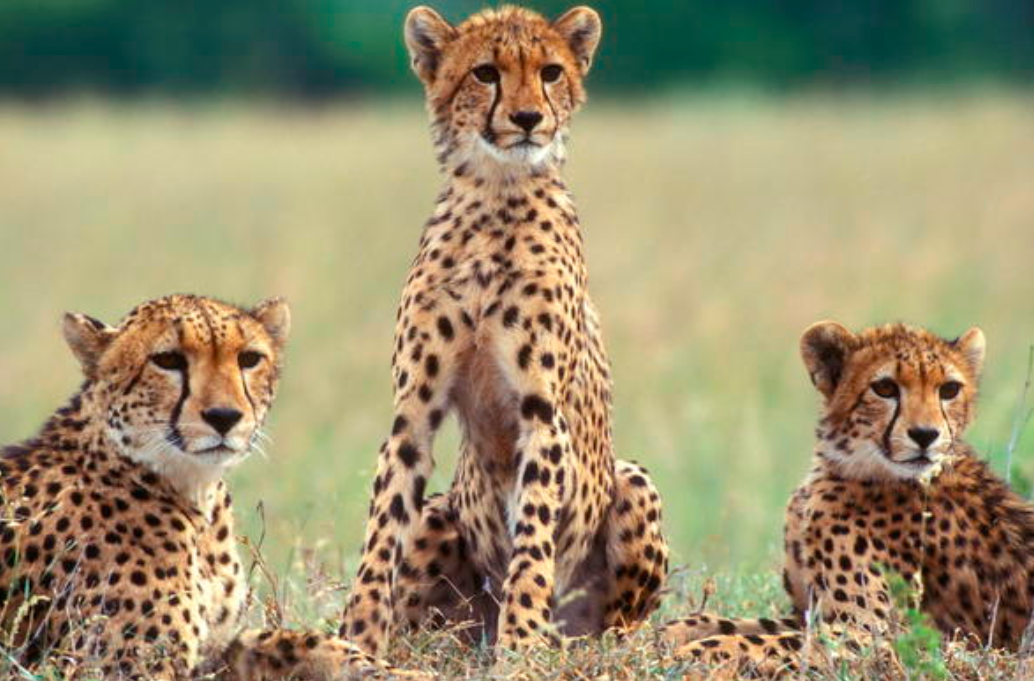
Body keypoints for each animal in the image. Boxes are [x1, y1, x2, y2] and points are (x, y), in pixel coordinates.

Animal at [0, 294, 423, 680]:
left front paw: (399, 671)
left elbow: (296, 640)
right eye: (168, 360)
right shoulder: (121, 666)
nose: (224, 416)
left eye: (249, 359)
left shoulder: (218, 648)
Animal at [340, 4, 668, 657]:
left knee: (616, 625)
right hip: (442, 519)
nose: (527, 118)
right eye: (485, 72)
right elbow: (382, 526)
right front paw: (357, 637)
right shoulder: (414, 411)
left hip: (632, 486)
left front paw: (522, 642)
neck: (496, 195)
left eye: (550, 72)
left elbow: (534, 535)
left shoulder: (542, 413)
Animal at [661, 321, 1034, 676]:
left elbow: (759, 641)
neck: (848, 466)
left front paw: (690, 653)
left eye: (949, 390)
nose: (926, 434)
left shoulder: (870, 634)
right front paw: (677, 630)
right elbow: (739, 623)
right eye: (885, 388)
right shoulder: (808, 612)